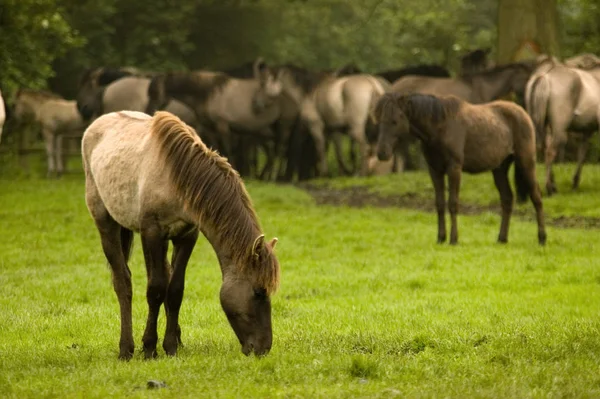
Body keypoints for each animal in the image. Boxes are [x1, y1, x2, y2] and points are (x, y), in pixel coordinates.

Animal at [82, 111, 282, 360]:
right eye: (258, 292)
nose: (263, 348)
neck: (176, 176)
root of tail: (97, 124)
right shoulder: (152, 233)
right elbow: (156, 290)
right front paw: (149, 347)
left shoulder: (187, 236)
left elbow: (175, 290)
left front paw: (170, 346)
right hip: (106, 223)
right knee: (123, 283)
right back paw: (126, 348)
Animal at [372, 93, 548, 247]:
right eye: (380, 120)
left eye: (395, 120)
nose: (381, 153)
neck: (440, 126)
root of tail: (523, 113)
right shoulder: (435, 170)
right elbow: (439, 203)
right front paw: (440, 238)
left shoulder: (454, 168)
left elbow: (453, 203)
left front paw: (453, 239)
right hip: (499, 168)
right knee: (507, 199)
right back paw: (502, 238)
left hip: (526, 161)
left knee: (536, 197)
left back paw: (542, 238)